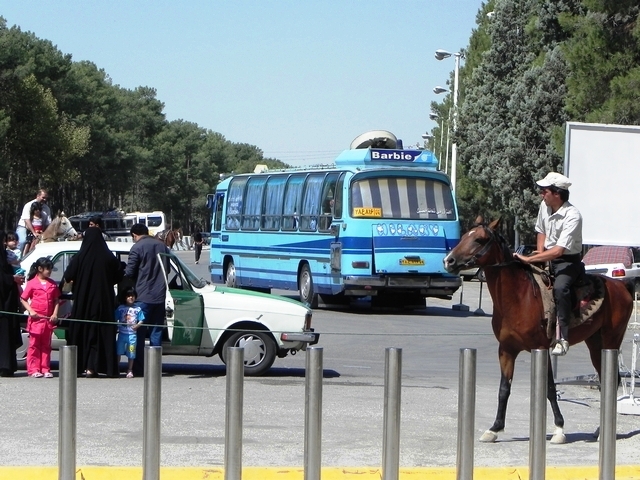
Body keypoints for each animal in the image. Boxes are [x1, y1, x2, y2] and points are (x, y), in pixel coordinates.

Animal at [442, 217, 632, 442]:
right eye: (464, 236)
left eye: (479, 239)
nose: (449, 261)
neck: (518, 297)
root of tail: (622, 286)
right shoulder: (506, 350)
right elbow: (504, 389)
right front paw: (494, 429)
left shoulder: (541, 348)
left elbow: (549, 388)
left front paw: (559, 430)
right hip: (595, 343)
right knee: (605, 380)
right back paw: (600, 429)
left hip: (612, 339)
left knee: (613, 380)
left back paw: (604, 432)